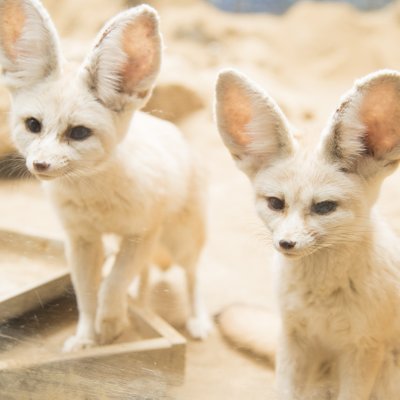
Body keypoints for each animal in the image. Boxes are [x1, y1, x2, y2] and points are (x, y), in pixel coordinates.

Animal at [0, 0, 212, 350]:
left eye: (79, 133)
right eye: (33, 125)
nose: (39, 165)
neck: (94, 197)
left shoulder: (141, 233)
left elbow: (113, 282)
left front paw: (111, 323)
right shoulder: (82, 240)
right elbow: (87, 294)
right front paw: (86, 337)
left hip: (180, 241)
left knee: (193, 274)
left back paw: (198, 319)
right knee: (147, 275)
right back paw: (140, 299)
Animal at [216, 69, 400, 400]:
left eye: (324, 207)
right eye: (276, 203)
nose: (286, 243)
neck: (321, 304)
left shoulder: (363, 349)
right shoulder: (294, 336)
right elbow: (285, 391)